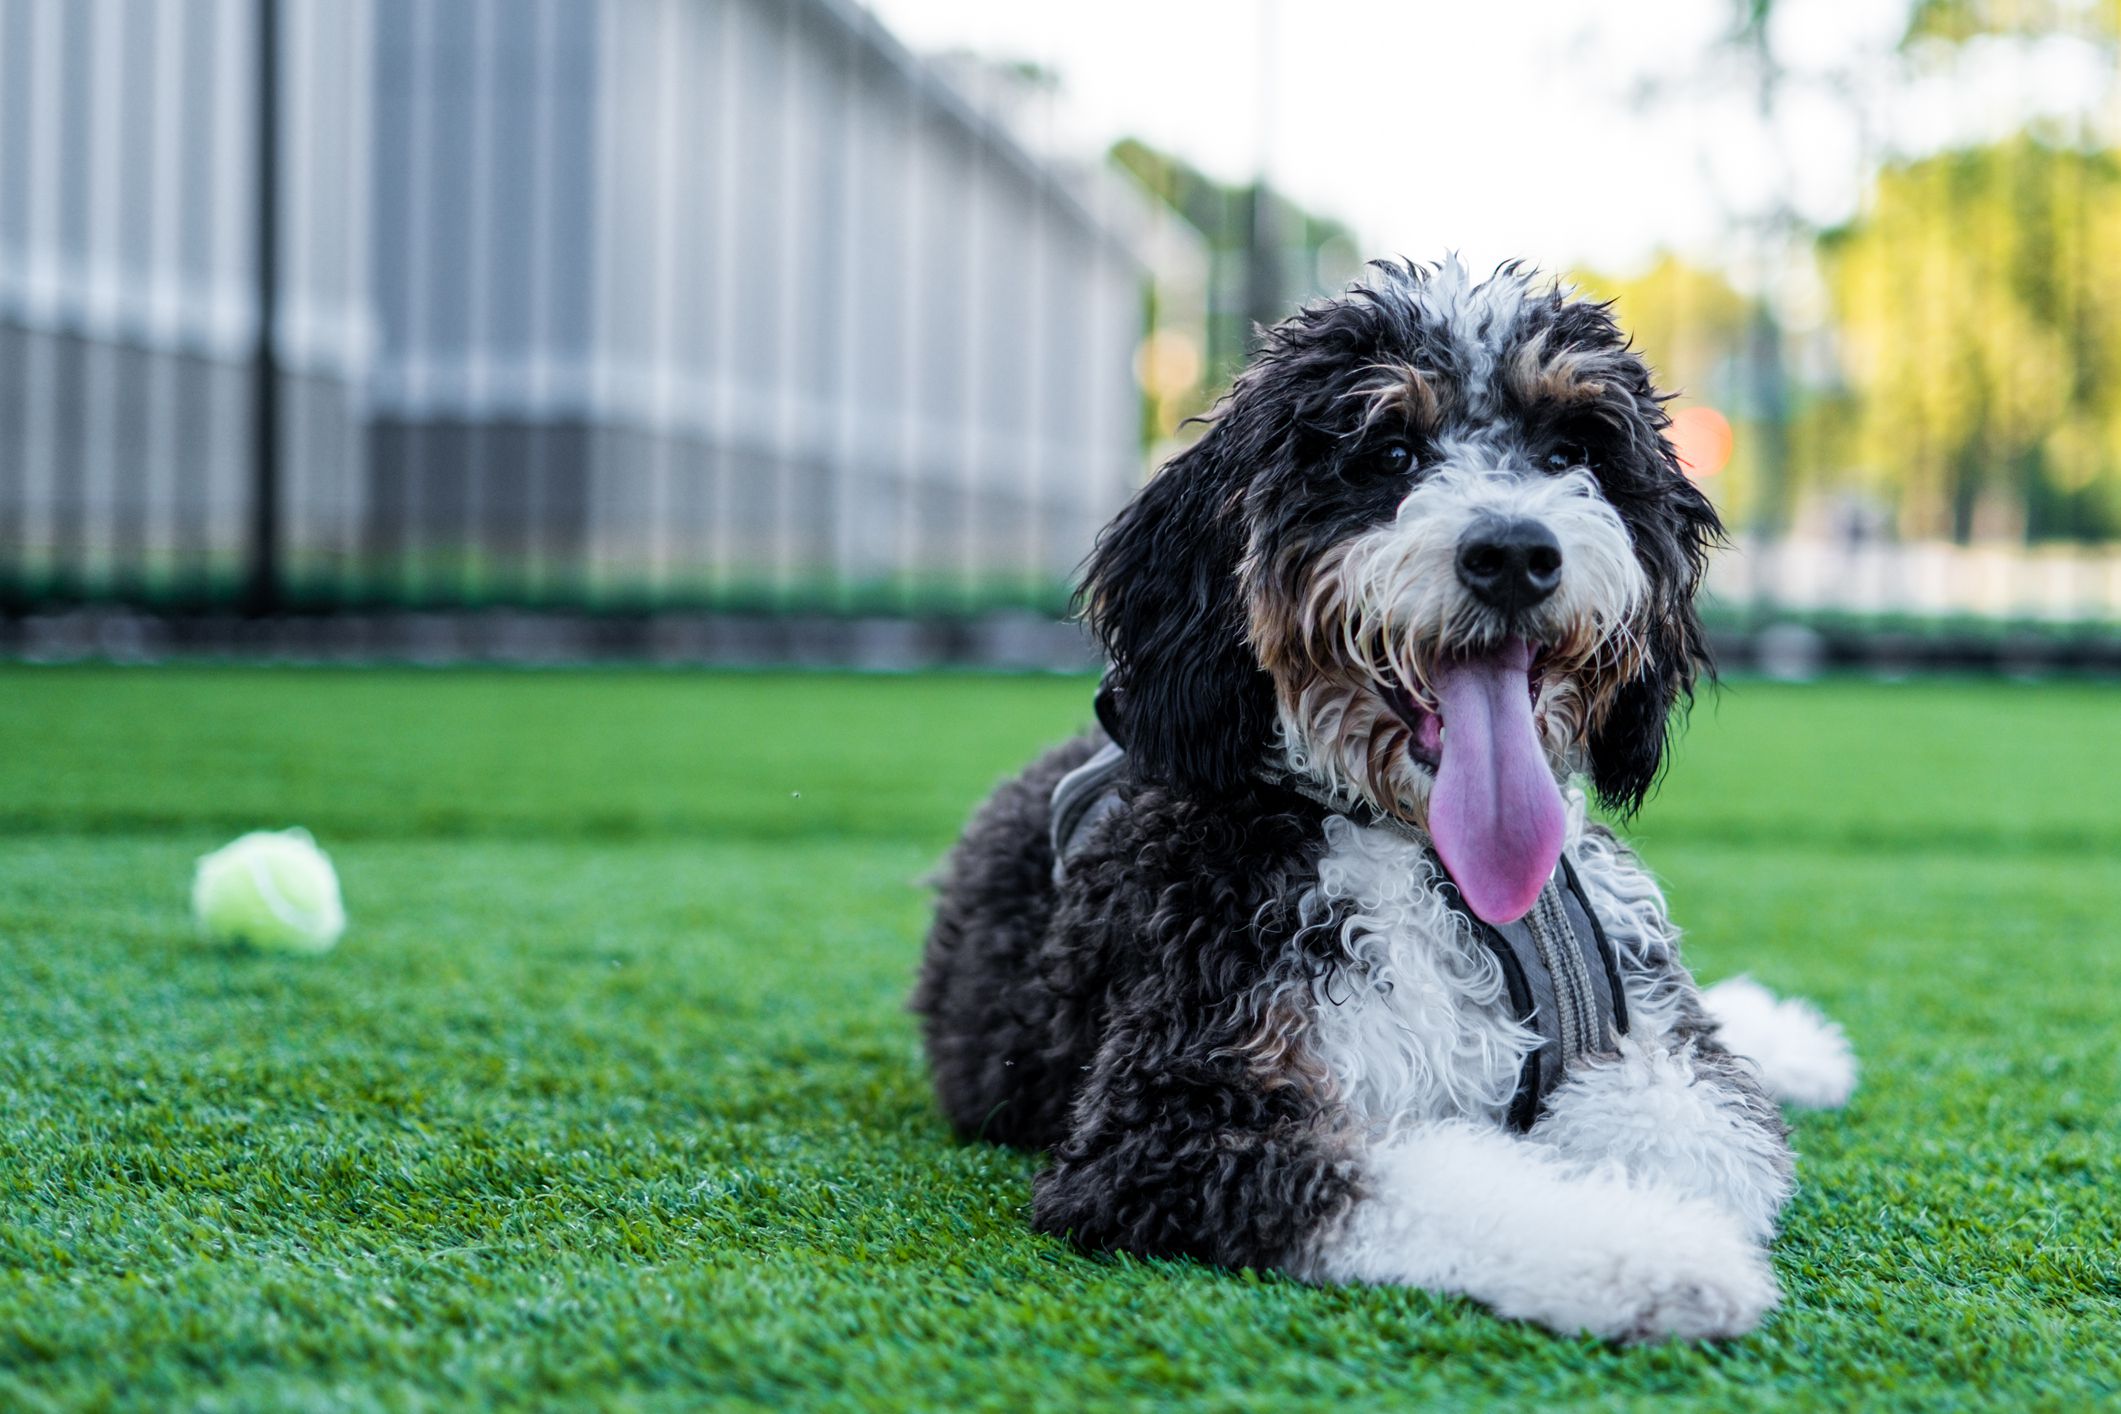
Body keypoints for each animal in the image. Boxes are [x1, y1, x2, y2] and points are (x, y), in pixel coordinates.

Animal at [916, 259, 1857, 1348]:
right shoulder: (1170, 1122)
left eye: (1568, 451)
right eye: (1388, 450)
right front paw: (1665, 1257)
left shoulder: (1661, 1047)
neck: (1436, 865)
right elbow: (1430, 1168)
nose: (1514, 553)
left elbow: (1711, 1136)